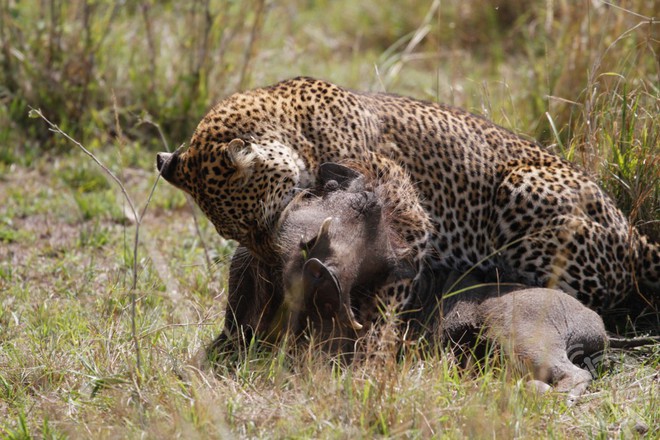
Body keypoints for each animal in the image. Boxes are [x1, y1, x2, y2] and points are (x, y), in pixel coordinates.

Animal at [159, 75, 660, 316]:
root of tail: (633, 232)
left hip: (522, 187)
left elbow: (386, 295)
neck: (295, 134)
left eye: (257, 223)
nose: (265, 260)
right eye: (234, 234)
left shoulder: (408, 221)